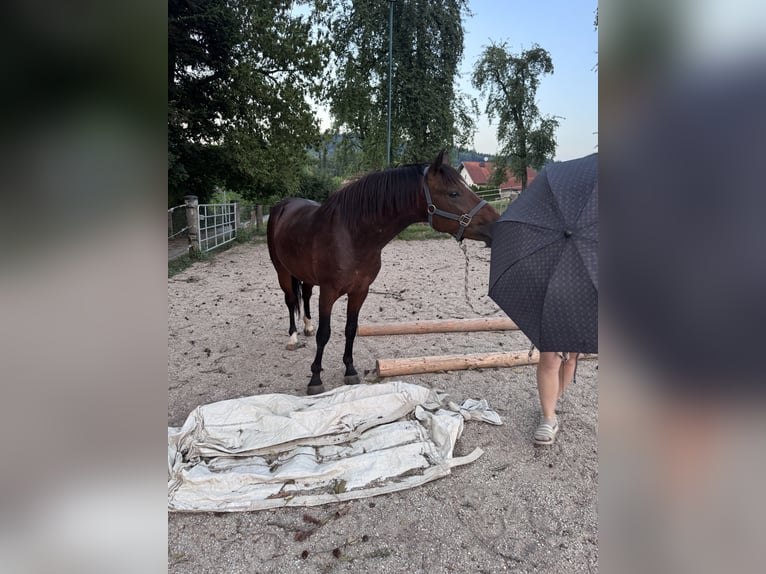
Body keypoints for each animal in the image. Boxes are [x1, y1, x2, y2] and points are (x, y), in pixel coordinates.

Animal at [266, 150, 500, 395]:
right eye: (453, 193)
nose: (496, 224)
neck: (351, 235)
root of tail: (282, 206)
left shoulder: (360, 291)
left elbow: (350, 329)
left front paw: (350, 370)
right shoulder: (328, 292)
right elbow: (325, 334)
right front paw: (315, 378)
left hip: (306, 276)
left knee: (306, 294)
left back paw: (308, 326)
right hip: (282, 271)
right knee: (291, 300)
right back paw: (293, 338)